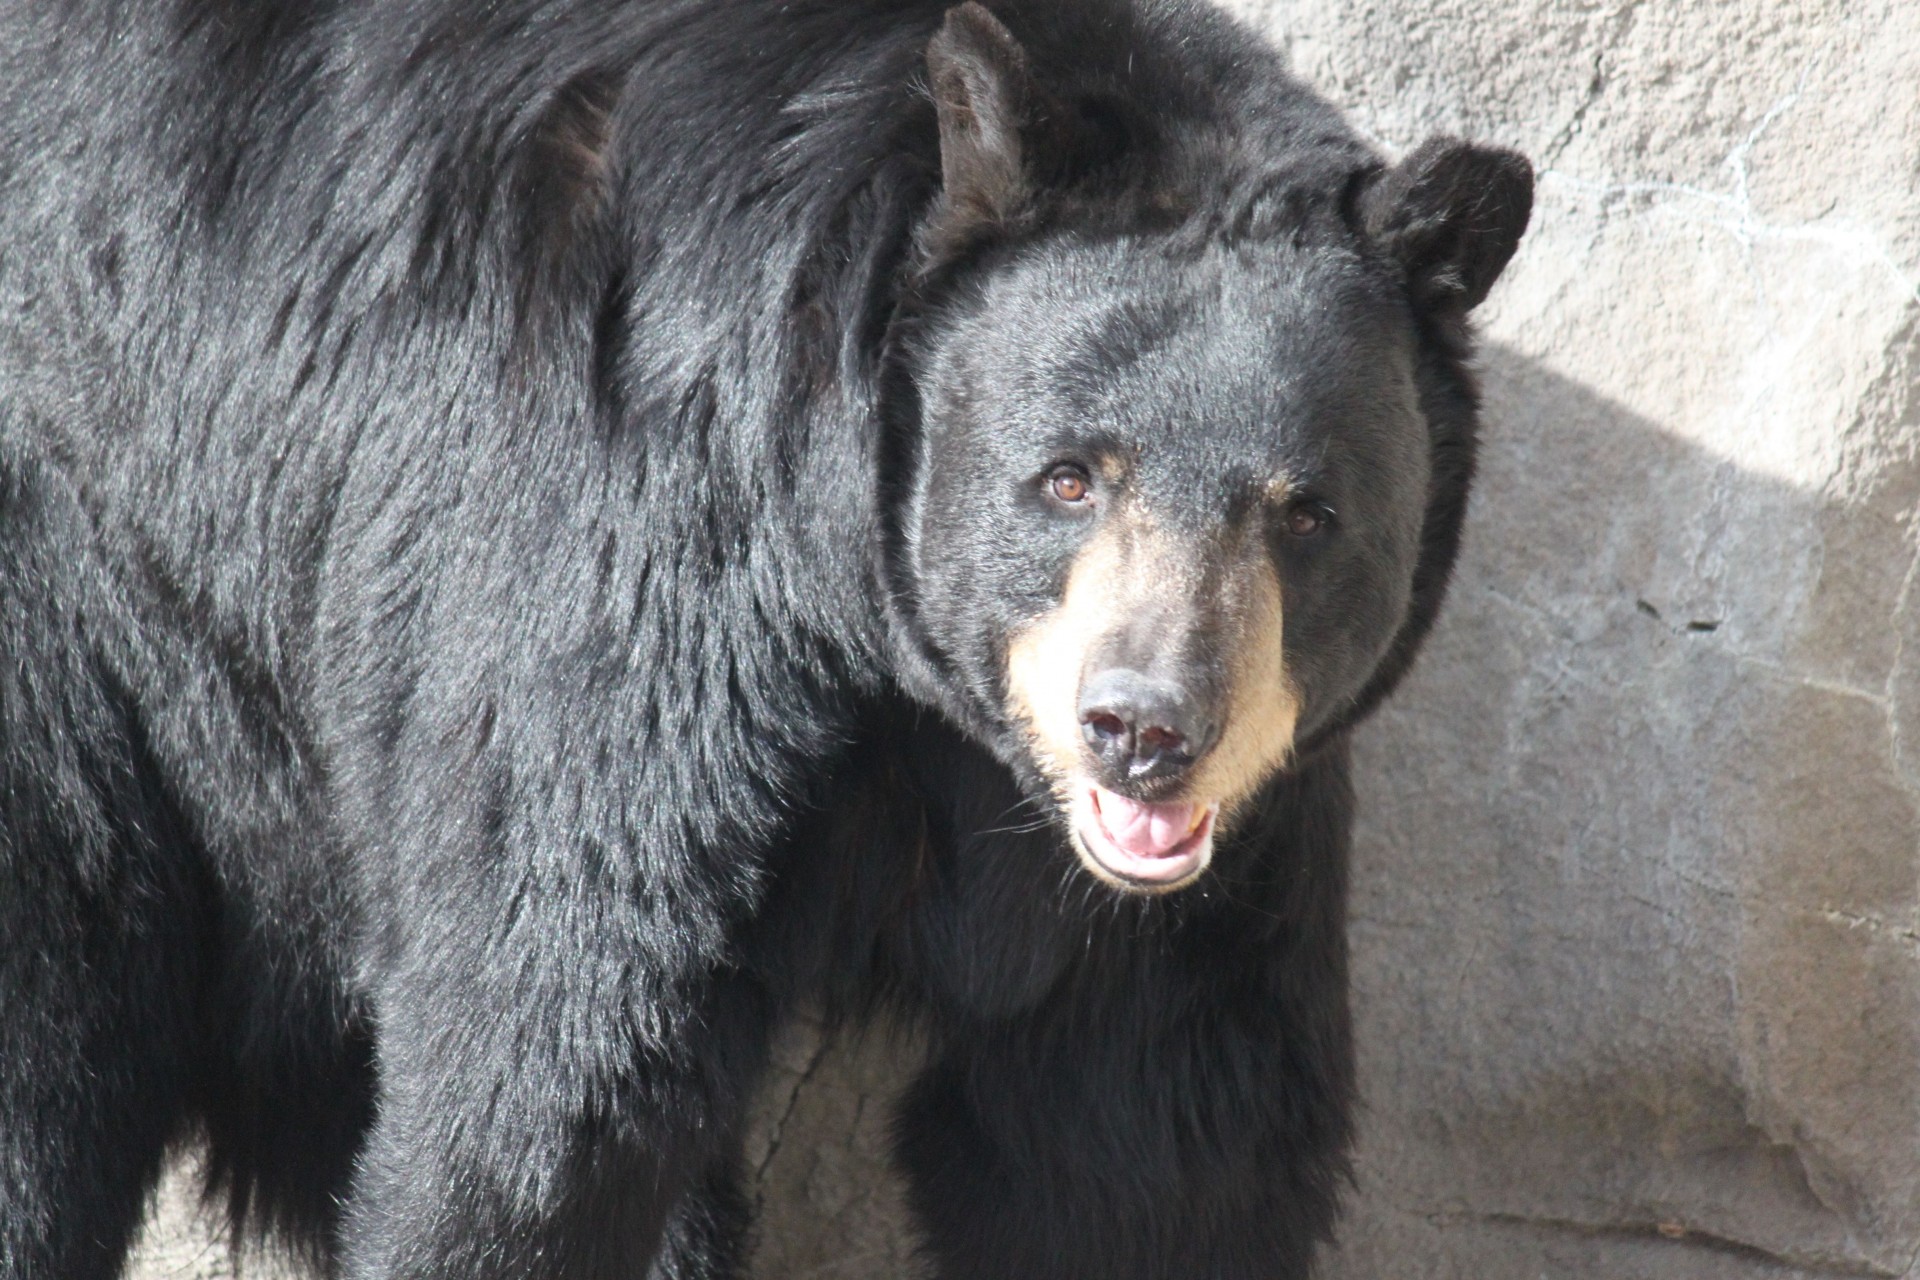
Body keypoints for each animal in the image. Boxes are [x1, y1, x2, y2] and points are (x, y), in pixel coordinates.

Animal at [0, 0, 1528, 1274]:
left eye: (1306, 513)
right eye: (1069, 476)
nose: (1146, 729)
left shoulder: (1217, 855)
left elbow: (1158, 1130)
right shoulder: (643, 561)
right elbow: (557, 1062)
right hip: (95, 586)